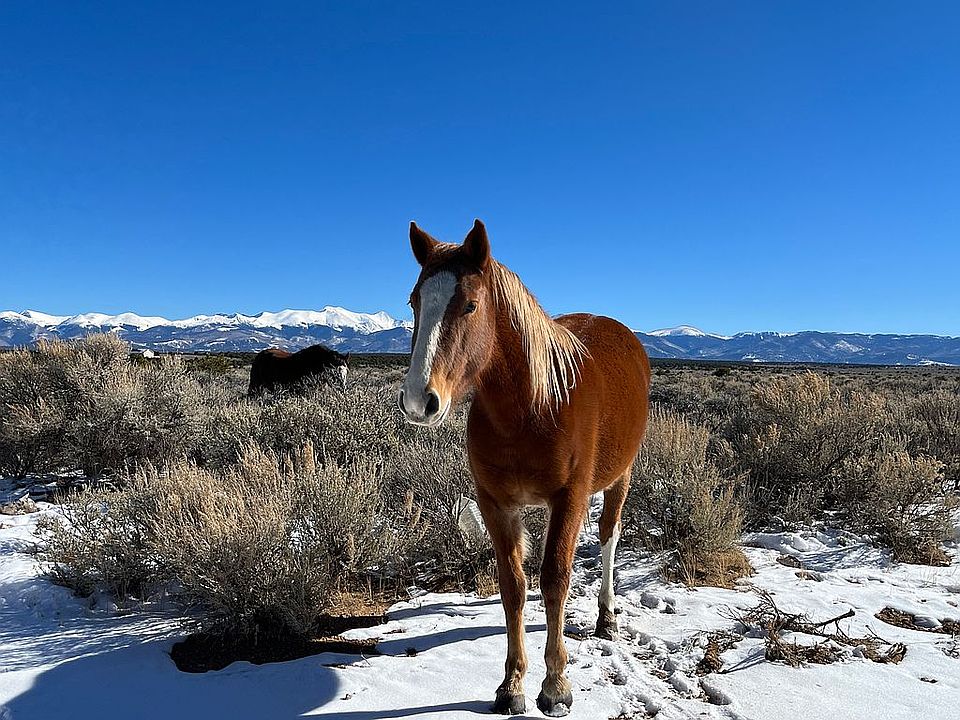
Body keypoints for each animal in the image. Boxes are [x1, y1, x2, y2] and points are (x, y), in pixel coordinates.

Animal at [398, 219, 650, 716]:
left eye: (470, 304)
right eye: (415, 301)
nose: (420, 400)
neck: (531, 408)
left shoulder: (568, 498)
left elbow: (554, 580)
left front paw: (555, 686)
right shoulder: (494, 502)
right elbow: (513, 585)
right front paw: (511, 684)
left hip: (620, 477)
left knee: (609, 537)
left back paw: (607, 616)